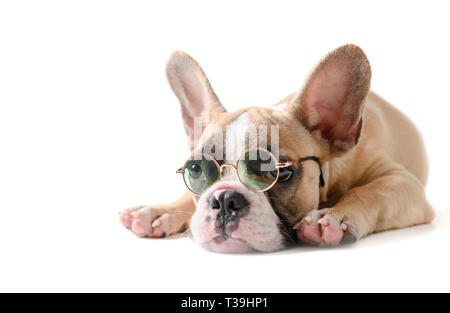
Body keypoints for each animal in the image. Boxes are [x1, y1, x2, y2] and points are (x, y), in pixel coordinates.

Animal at [118, 44, 432, 252]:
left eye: (276, 173)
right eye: (196, 170)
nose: (224, 199)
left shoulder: (402, 181)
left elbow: (369, 191)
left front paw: (333, 216)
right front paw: (159, 212)